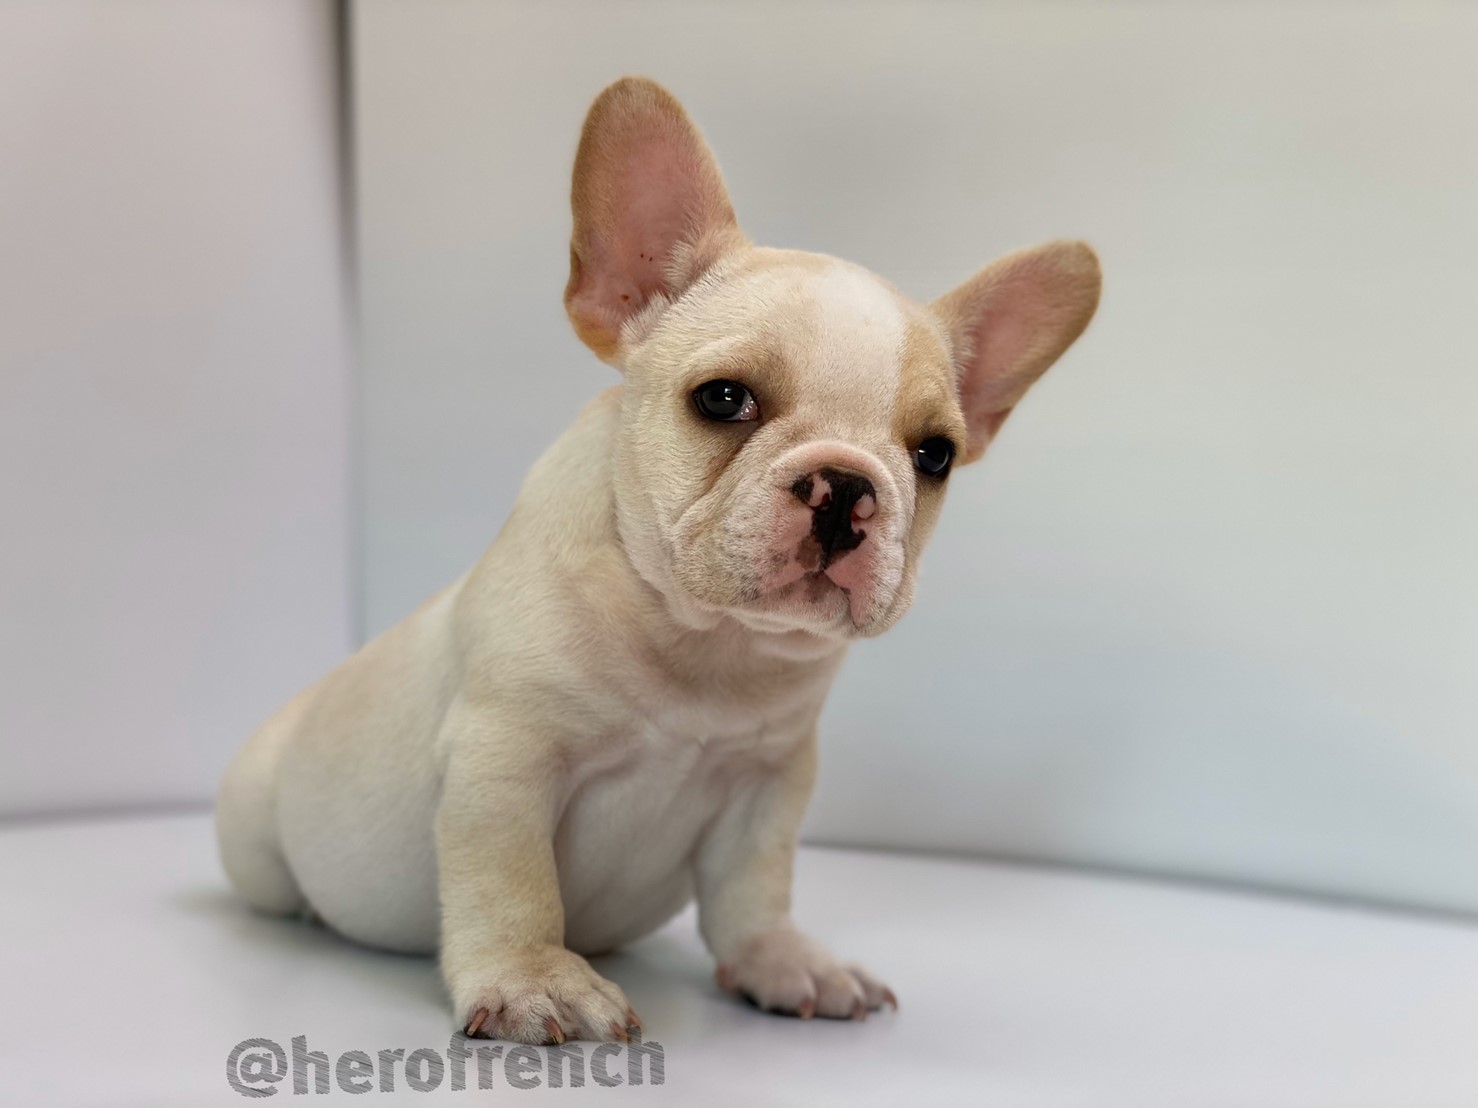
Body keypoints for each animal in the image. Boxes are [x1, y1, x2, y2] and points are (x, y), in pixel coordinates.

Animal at [216, 76, 1101, 1045]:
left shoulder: (768, 786)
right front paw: (534, 980)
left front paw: (782, 962)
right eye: (724, 399)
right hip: (255, 830)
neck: (706, 638)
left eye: (935, 454)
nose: (845, 485)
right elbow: (512, 882)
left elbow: (755, 889)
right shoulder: (504, 758)